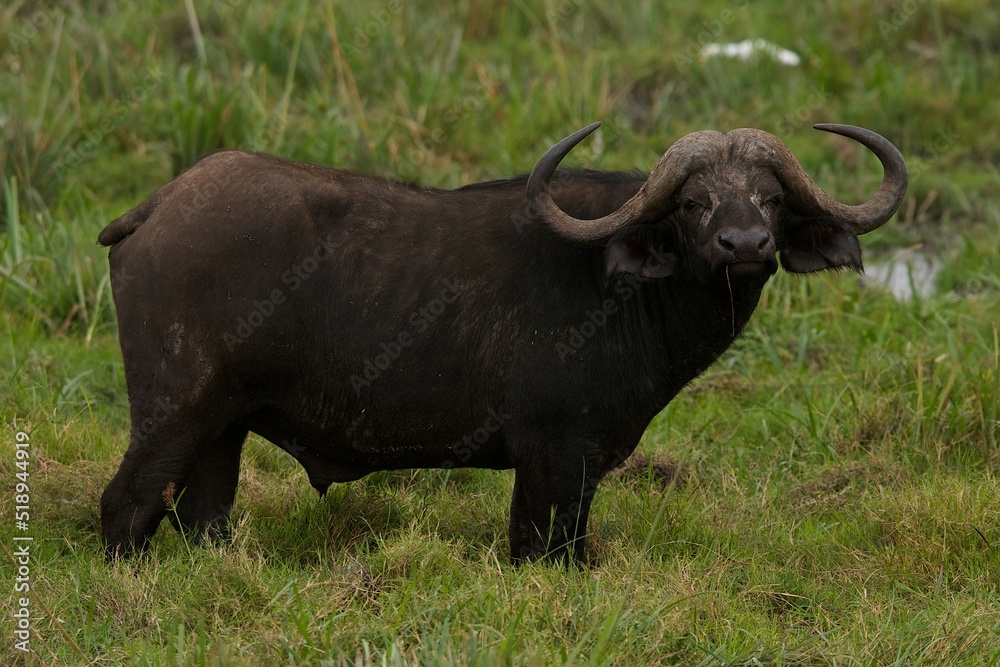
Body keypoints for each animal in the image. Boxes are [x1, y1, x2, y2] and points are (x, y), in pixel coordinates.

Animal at [99, 121, 908, 564]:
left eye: (769, 198)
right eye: (692, 201)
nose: (746, 244)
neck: (620, 283)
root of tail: (159, 205)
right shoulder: (553, 458)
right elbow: (540, 549)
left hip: (221, 431)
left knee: (201, 518)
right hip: (172, 414)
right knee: (124, 506)